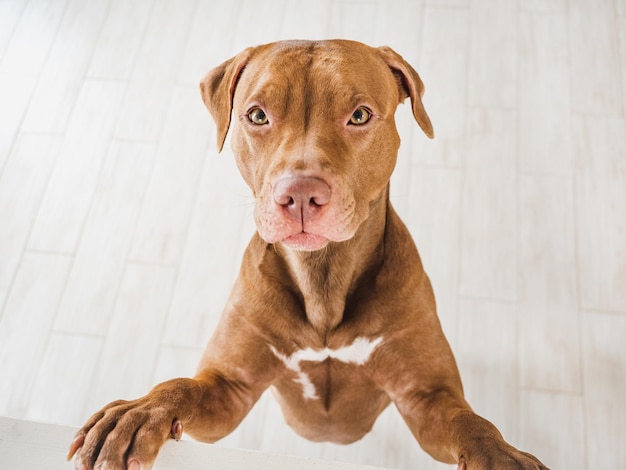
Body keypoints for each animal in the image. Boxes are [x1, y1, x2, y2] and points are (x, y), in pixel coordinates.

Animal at [67, 41, 544, 470]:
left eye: (360, 115)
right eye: (257, 115)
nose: (298, 193)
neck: (323, 278)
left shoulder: (426, 397)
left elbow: (470, 422)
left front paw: (501, 456)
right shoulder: (228, 390)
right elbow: (183, 386)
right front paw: (140, 412)